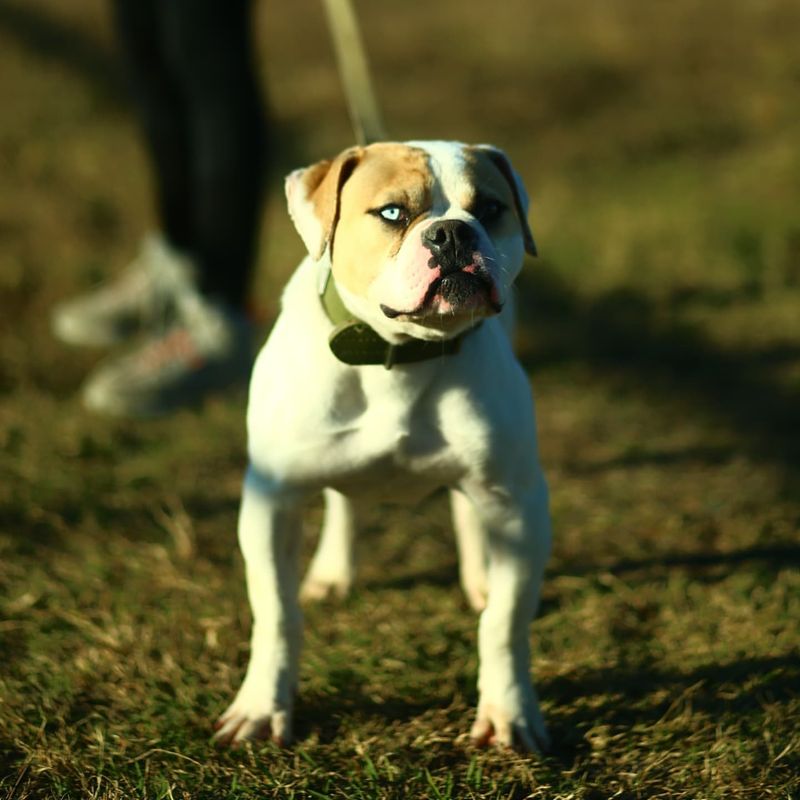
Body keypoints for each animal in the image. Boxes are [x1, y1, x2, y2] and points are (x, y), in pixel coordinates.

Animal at [212, 142, 552, 752]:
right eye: (392, 213)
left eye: (490, 209)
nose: (451, 234)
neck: (401, 352)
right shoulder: (273, 500)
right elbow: (276, 614)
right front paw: (261, 707)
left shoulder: (519, 502)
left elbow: (505, 622)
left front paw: (509, 712)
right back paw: (332, 573)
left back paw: (481, 577)